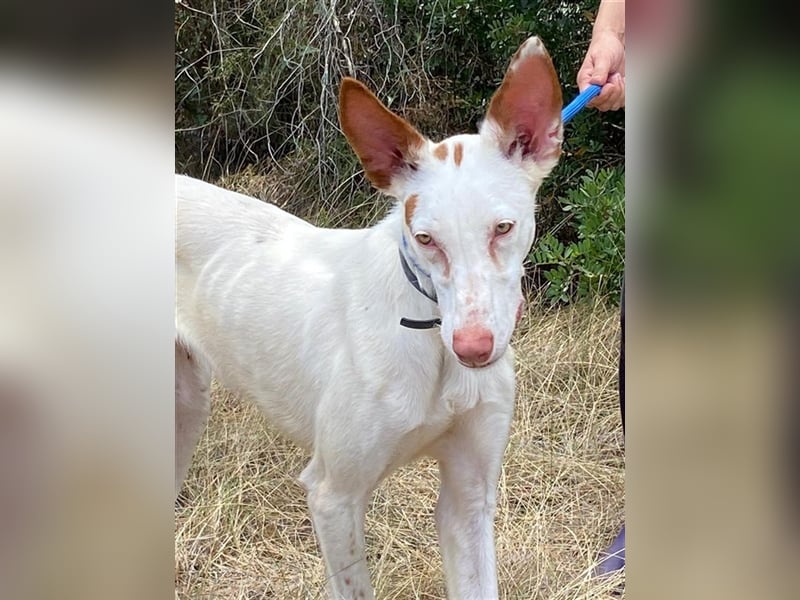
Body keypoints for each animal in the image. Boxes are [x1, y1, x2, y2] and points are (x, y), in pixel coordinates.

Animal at [175, 35, 564, 596]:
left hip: (184, 411)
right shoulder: (332, 496)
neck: (430, 340)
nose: (473, 349)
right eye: (425, 239)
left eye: (503, 228)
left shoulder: (468, 497)